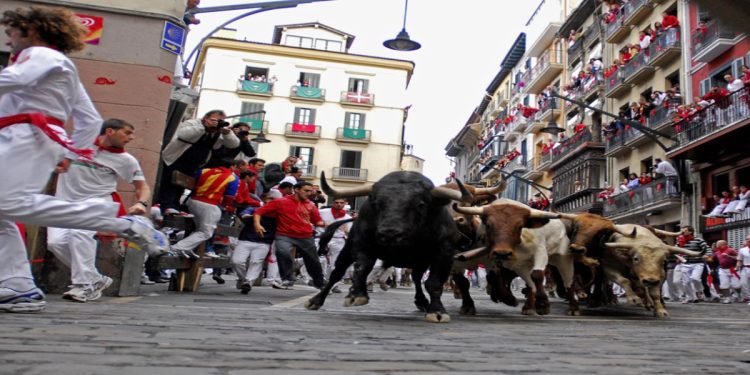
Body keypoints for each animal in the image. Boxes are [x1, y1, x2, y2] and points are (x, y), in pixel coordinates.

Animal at [304, 173, 468, 324]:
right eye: (376, 204)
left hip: (420, 262)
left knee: (416, 278)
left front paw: (437, 311)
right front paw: (356, 295)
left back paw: (421, 301)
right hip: (347, 250)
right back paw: (315, 300)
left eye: (421, 204)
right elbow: (362, 268)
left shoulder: (444, 254)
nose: (390, 233)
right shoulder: (361, 244)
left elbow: (434, 283)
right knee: (336, 273)